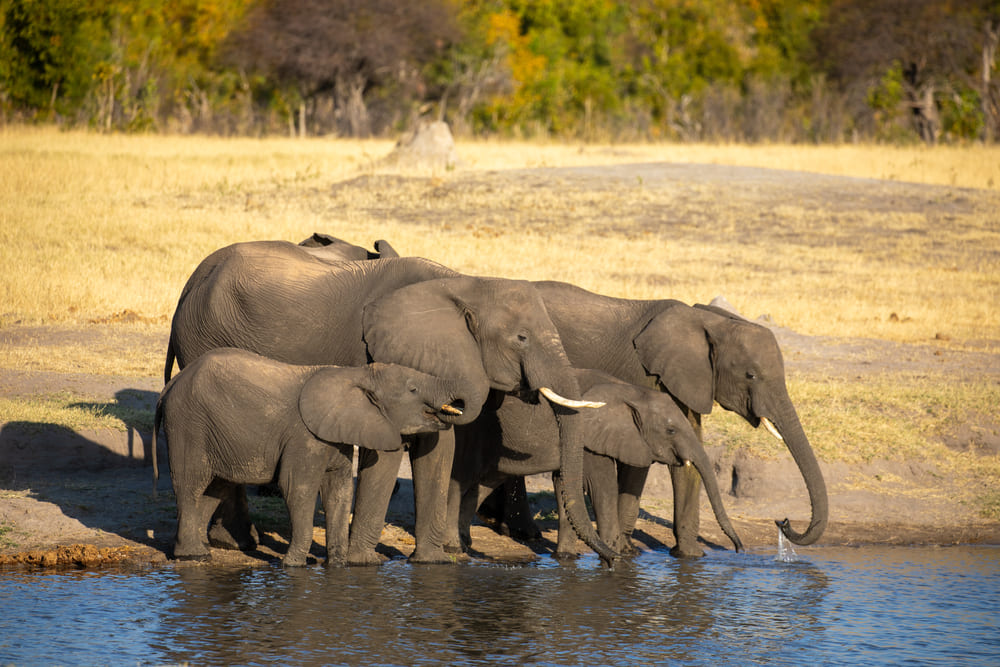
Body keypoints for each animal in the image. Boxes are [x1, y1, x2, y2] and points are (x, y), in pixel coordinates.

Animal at [154, 348, 466, 568]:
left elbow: (339, 490)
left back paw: (200, 552)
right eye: (413, 390)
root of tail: (169, 386)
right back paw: (192, 557)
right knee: (191, 484)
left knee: (214, 489)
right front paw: (294, 566)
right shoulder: (304, 436)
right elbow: (298, 488)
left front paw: (337, 566)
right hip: (188, 423)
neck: (357, 375)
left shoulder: (334, 434)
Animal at [450, 370, 748, 560]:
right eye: (671, 431)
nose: (739, 550)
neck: (632, 392)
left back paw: (464, 542)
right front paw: (615, 557)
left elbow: (565, 487)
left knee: (485, 483)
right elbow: (601, 486)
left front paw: (566, 557)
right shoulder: (590, 439)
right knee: (467, 478)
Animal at [524, 282, 828, 560]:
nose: (783, 521)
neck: (708, 322)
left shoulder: (688, 380)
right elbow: (640, 460)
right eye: (751, 375)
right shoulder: (646, 376)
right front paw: (627, 552)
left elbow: (691, 458)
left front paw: (690, 556)